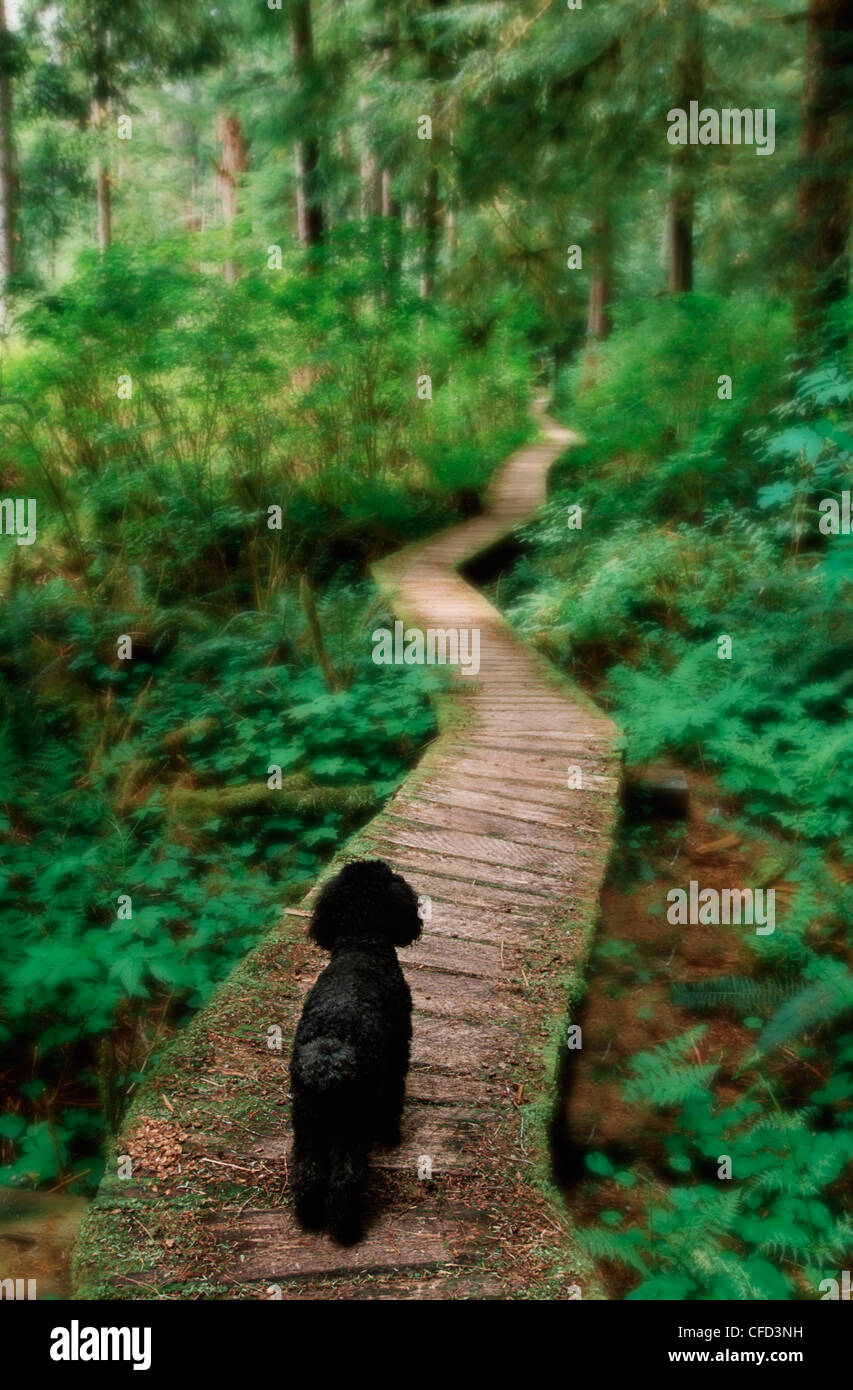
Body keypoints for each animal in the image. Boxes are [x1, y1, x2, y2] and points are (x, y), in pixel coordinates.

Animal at [288, 861, 422, 1245]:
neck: (362, 944)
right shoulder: (396, 1056)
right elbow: (393, 1099)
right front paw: (392, 1136)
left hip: (307, 1120)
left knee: (308, 1171)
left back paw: (309, 1218)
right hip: (351, 1123)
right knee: (345, 1178)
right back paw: (348, 1230)